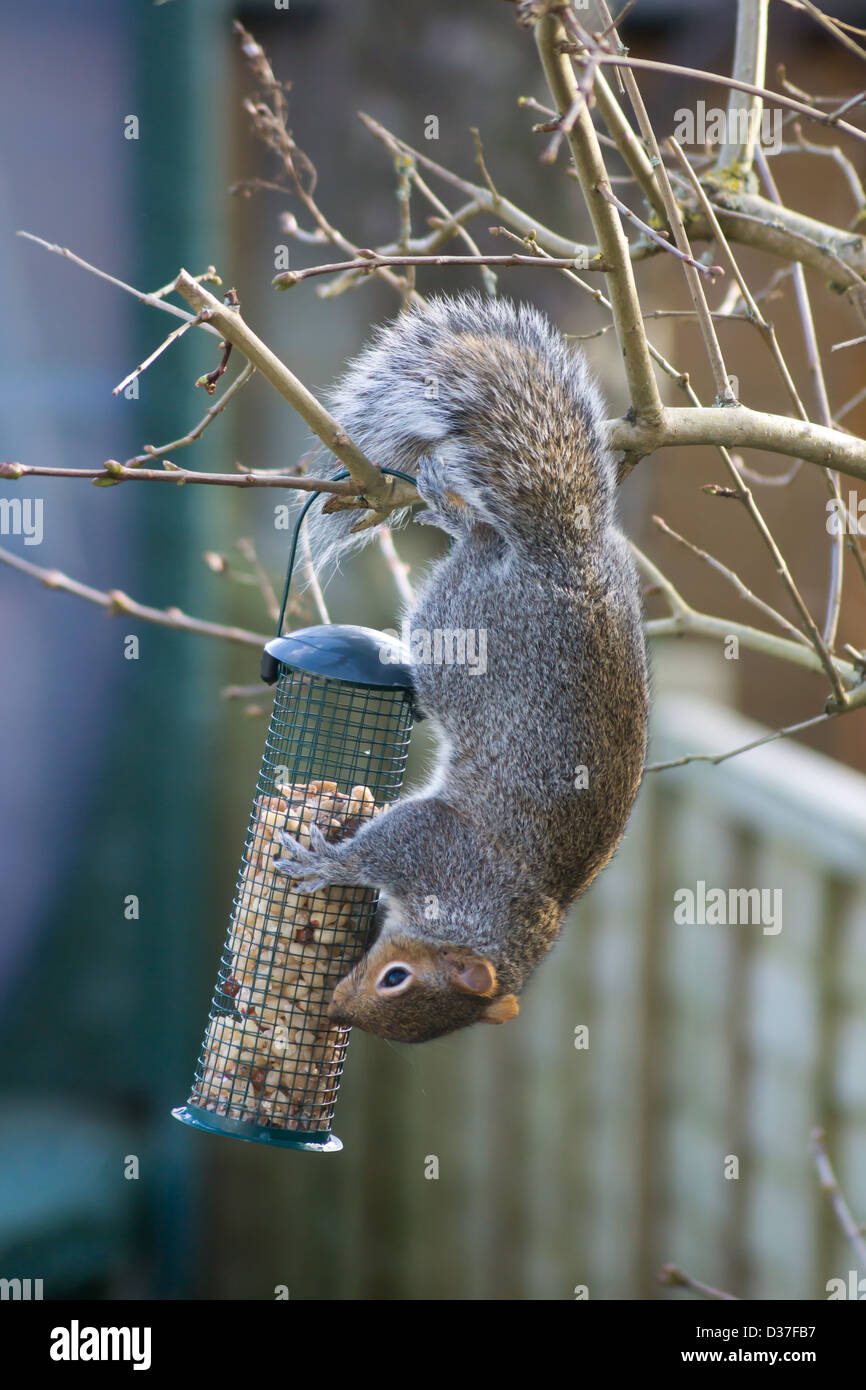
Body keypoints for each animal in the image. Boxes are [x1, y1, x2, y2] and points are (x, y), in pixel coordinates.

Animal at [273, 293, 647, 1045]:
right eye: (394, 978)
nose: (336, 1010)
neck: (483, 919)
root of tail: (567, 555)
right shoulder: (439, 844)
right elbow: (381, 846)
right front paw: (328, 861)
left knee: (482, 538)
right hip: (457, 632)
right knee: (476, 538)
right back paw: (448, 501)